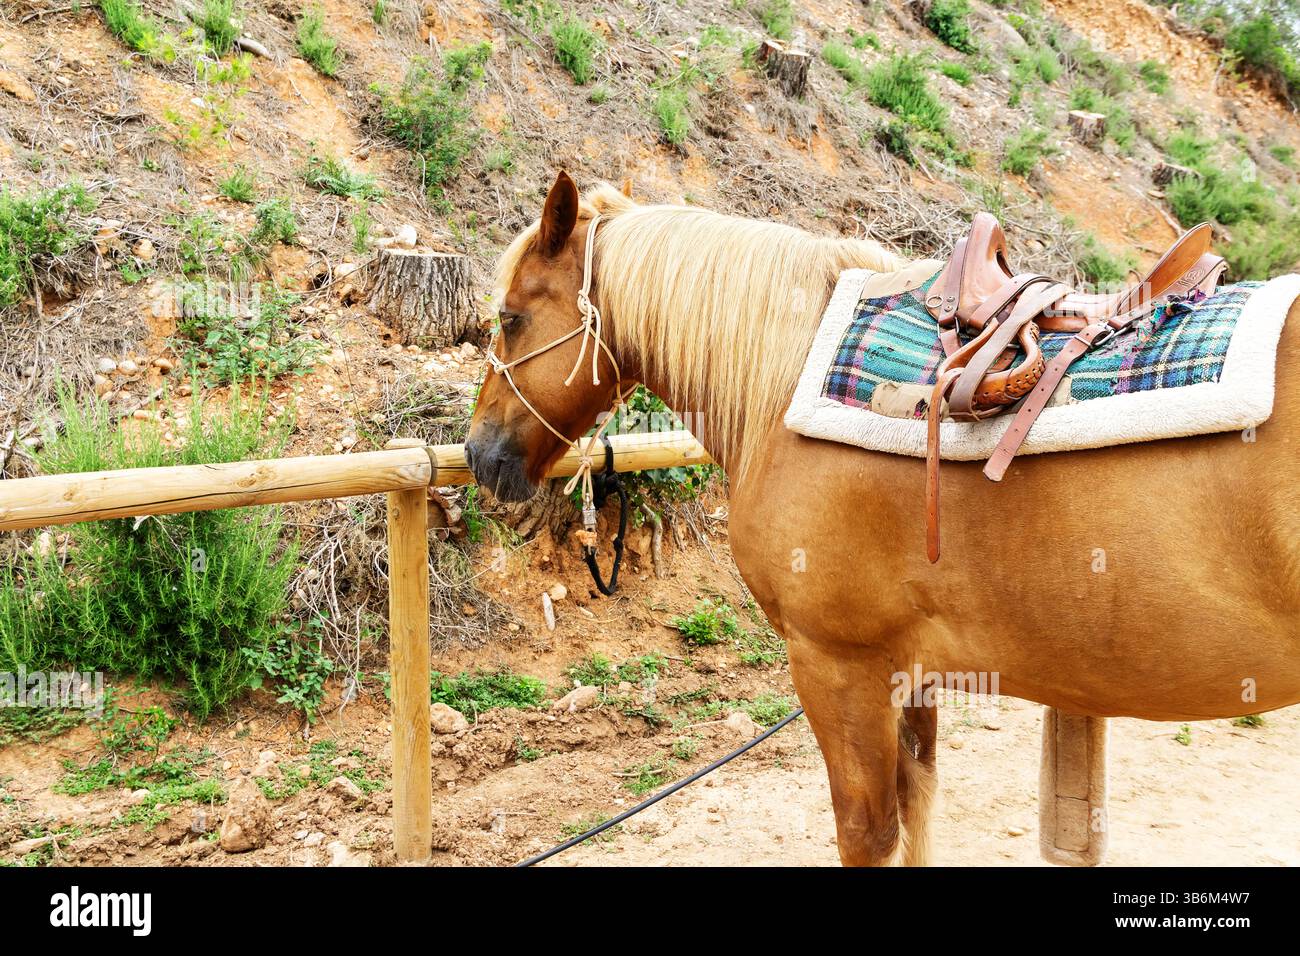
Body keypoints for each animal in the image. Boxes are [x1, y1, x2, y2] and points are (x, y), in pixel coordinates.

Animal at [465, 171, 1300, 866]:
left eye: (511, 318)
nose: (478, 453)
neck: (785, 377)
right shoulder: (913, 672)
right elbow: (921, 806)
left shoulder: (839, 665)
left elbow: (867, 831)